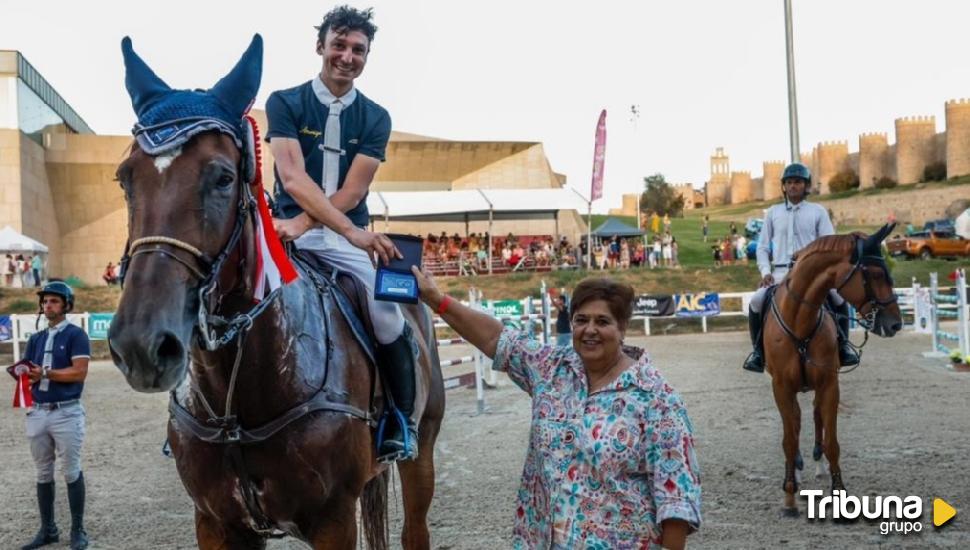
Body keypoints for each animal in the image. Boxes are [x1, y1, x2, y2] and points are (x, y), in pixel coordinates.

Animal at [105, 36, 442, 548]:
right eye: (125, 178)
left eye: (224, 177)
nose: (142, 346)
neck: (237, 403)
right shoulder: (217, 522)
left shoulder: (333, 520)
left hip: (421, 451)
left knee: (414, 527)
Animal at [764, 224, 900, 516]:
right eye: (874, 274)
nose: (896, 323)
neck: (800, 321)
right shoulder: (781, 387)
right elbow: (789, 439)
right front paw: (789, 496)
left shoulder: (829, 384)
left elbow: (832, 442)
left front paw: (839, 492)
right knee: (796, 423)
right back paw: (797, 470)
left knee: (815, 417)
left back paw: (817, 464)